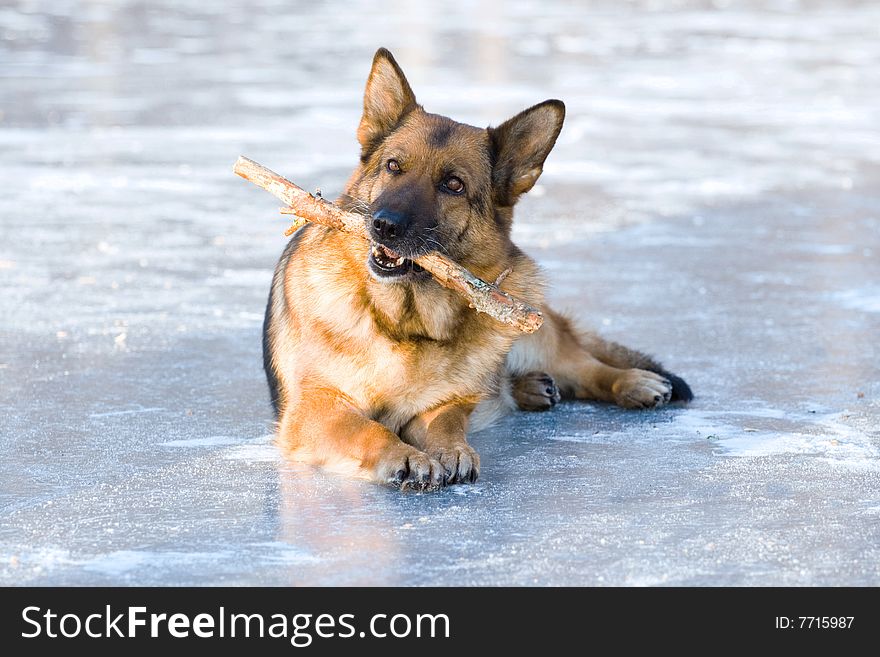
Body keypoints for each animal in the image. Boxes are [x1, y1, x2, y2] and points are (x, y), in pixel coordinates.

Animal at [262, 48, 696, 490]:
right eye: (393, 166)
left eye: (453, 184)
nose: (384, 225)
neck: (404, 320)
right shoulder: (312, 409)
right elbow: (369, 428)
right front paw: (404, 455)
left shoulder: (447, 401)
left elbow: (447, 420)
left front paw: (452, 449)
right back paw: (529, 388)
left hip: (532, 325)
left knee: (583, 367)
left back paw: (632, 382)